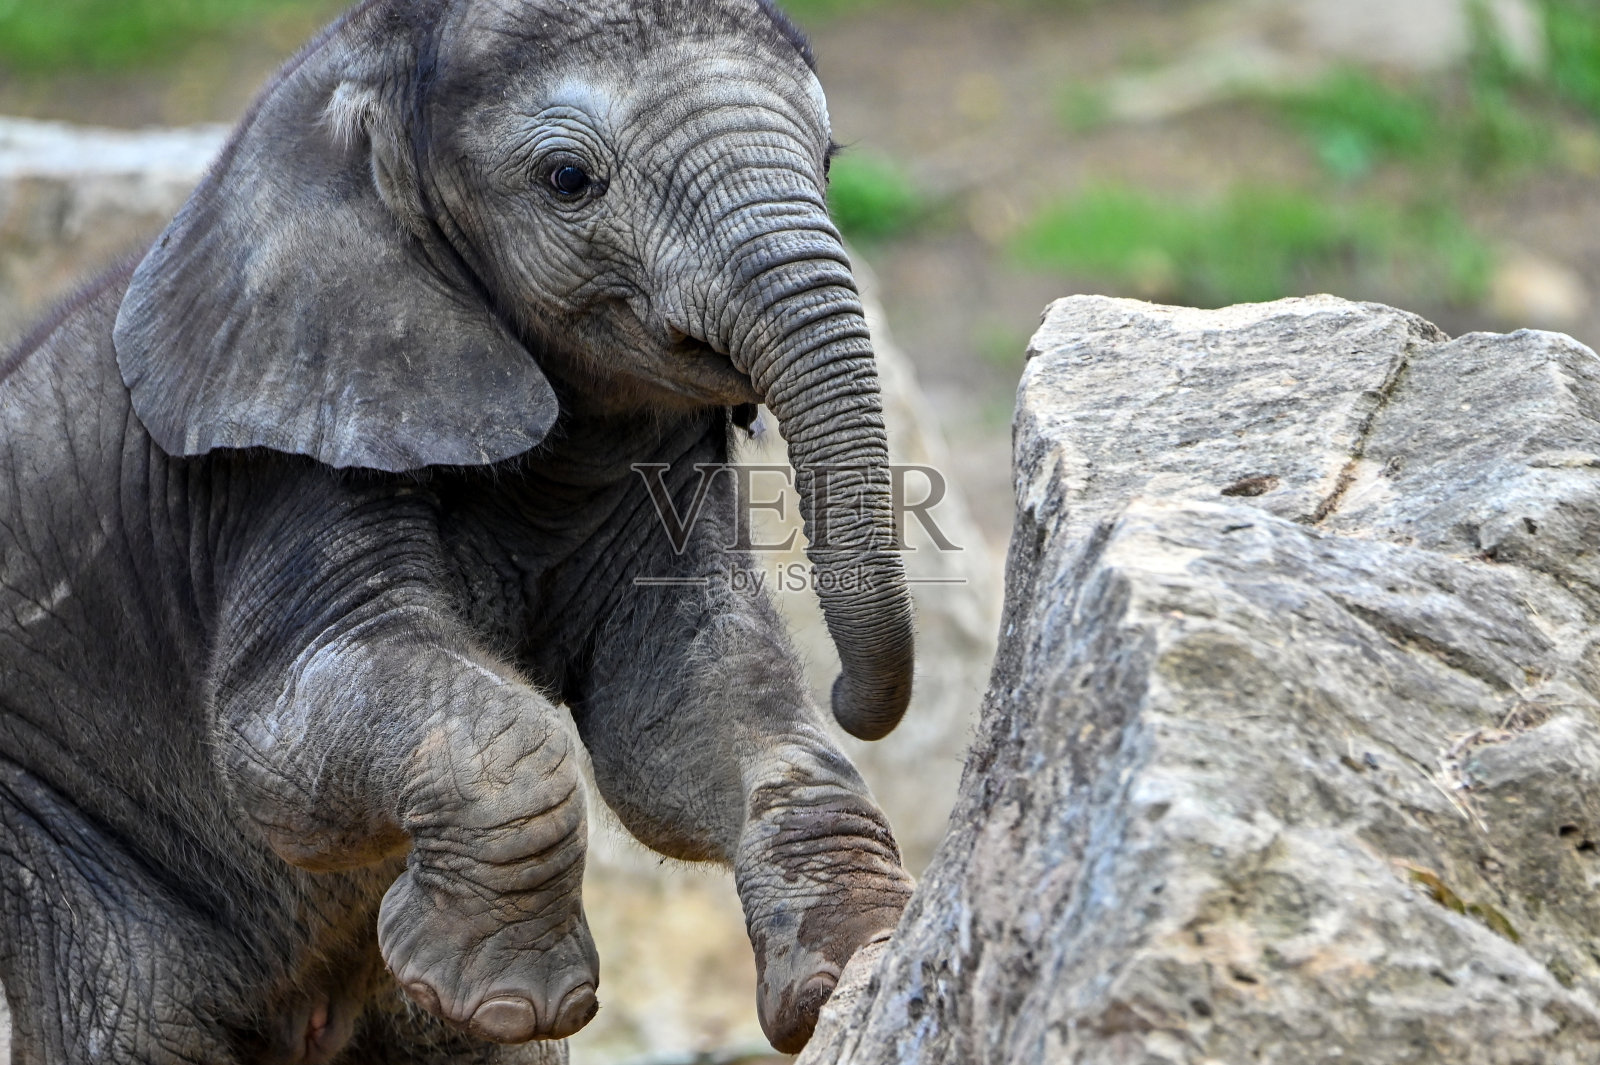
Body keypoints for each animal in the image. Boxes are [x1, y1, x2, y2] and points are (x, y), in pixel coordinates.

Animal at [0, 0, 921, 1061]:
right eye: (568, 180)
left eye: (828, 159)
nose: (853, 695)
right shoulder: (293, 463)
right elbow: (280, 727)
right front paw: (509, 996)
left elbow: (686, 700)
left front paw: (854, 964)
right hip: (51, 836)